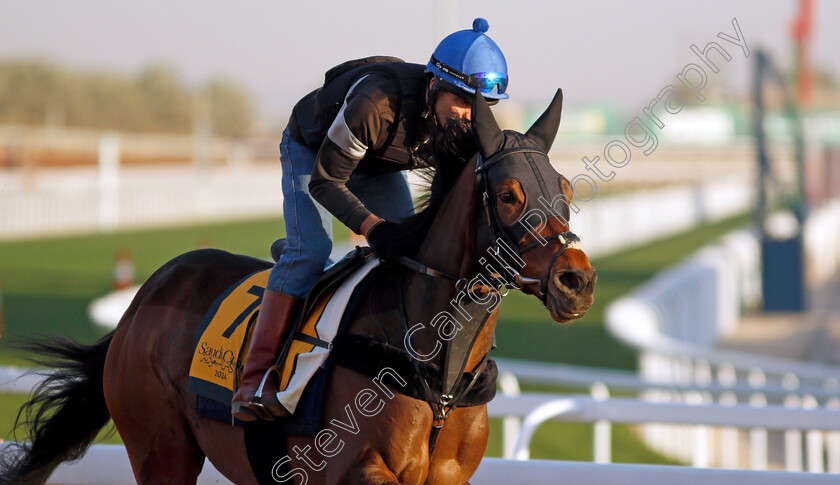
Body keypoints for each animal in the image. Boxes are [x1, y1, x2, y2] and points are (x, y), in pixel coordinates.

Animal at [0, 89, 592, 482]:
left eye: (564, 189)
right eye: (509, 194)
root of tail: (144, 297)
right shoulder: (359, 469)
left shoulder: (449, 475)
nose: (577, 281)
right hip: (159, 448)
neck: (437, 371)